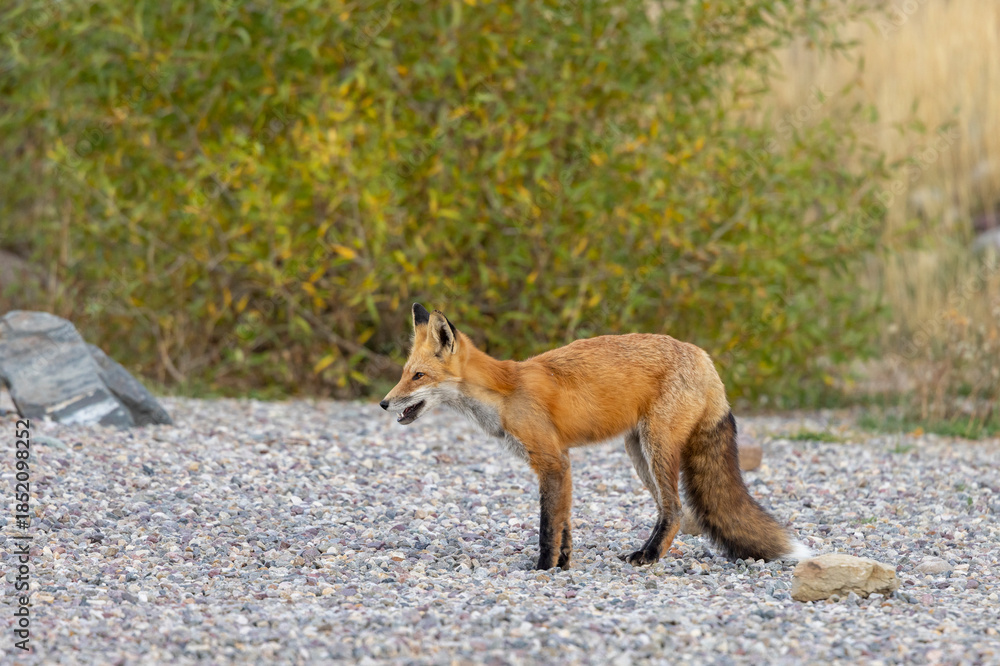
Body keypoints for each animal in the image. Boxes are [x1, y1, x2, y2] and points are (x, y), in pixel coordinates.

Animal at [380, 303, 810, 570]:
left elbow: (547, 527)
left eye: (418, 376)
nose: (384, 403)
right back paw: (646, 551)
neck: (504, 392)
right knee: (671, 510)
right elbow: (565, 524)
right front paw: (564, 565)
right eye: (404, 373)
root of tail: (703, 356)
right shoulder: (563, 462)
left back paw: (649, 557)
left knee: (675, 510)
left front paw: (542, 569)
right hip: (638, 453)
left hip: (657, 449)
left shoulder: (551, 461)